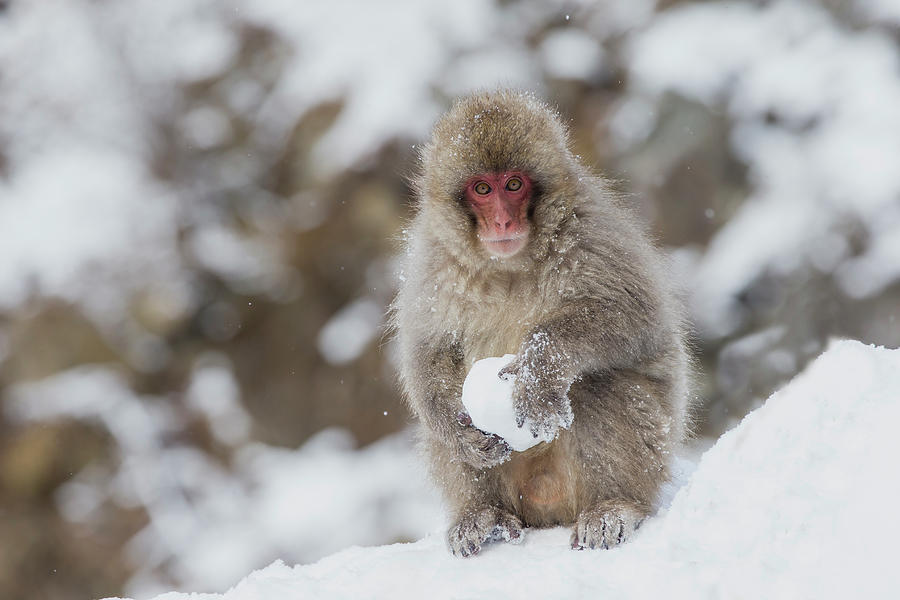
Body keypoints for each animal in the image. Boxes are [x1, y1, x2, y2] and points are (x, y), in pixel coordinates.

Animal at [392, 90, 688, 556]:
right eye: (482, 188)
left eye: (514, 185)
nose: (502, 221)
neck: (508, 265)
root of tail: (545, 506)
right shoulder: (432, 263)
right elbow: (428, 348)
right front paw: (458, 431)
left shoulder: (591, 234)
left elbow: (637, 317)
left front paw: (538, 370)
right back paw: (483, 516)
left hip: (651, 451)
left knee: (598, 385)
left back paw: (613, 506)